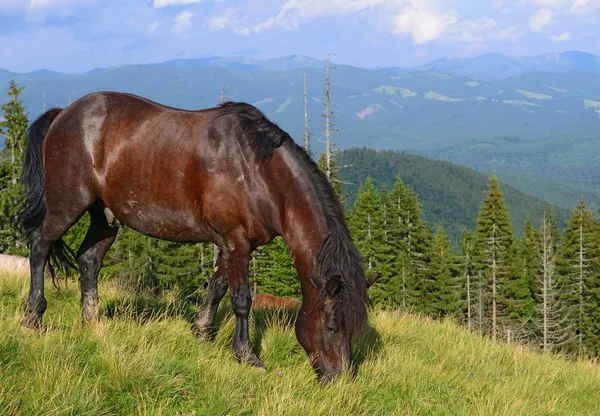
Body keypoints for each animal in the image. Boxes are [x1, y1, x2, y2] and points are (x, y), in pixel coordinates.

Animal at [12, 92, 370, 384]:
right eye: (332, 326)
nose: (341, 380)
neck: (258, 171)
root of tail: (63, 113)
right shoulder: (236, 242)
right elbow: (241, 300)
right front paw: (246, 356)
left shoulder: (232, 244)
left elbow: (217, 287)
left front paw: (202, 333)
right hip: (67, 205)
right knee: (40, 247)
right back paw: (33, 317)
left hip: (105, 216)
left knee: (89, 260)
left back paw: (93, 323)